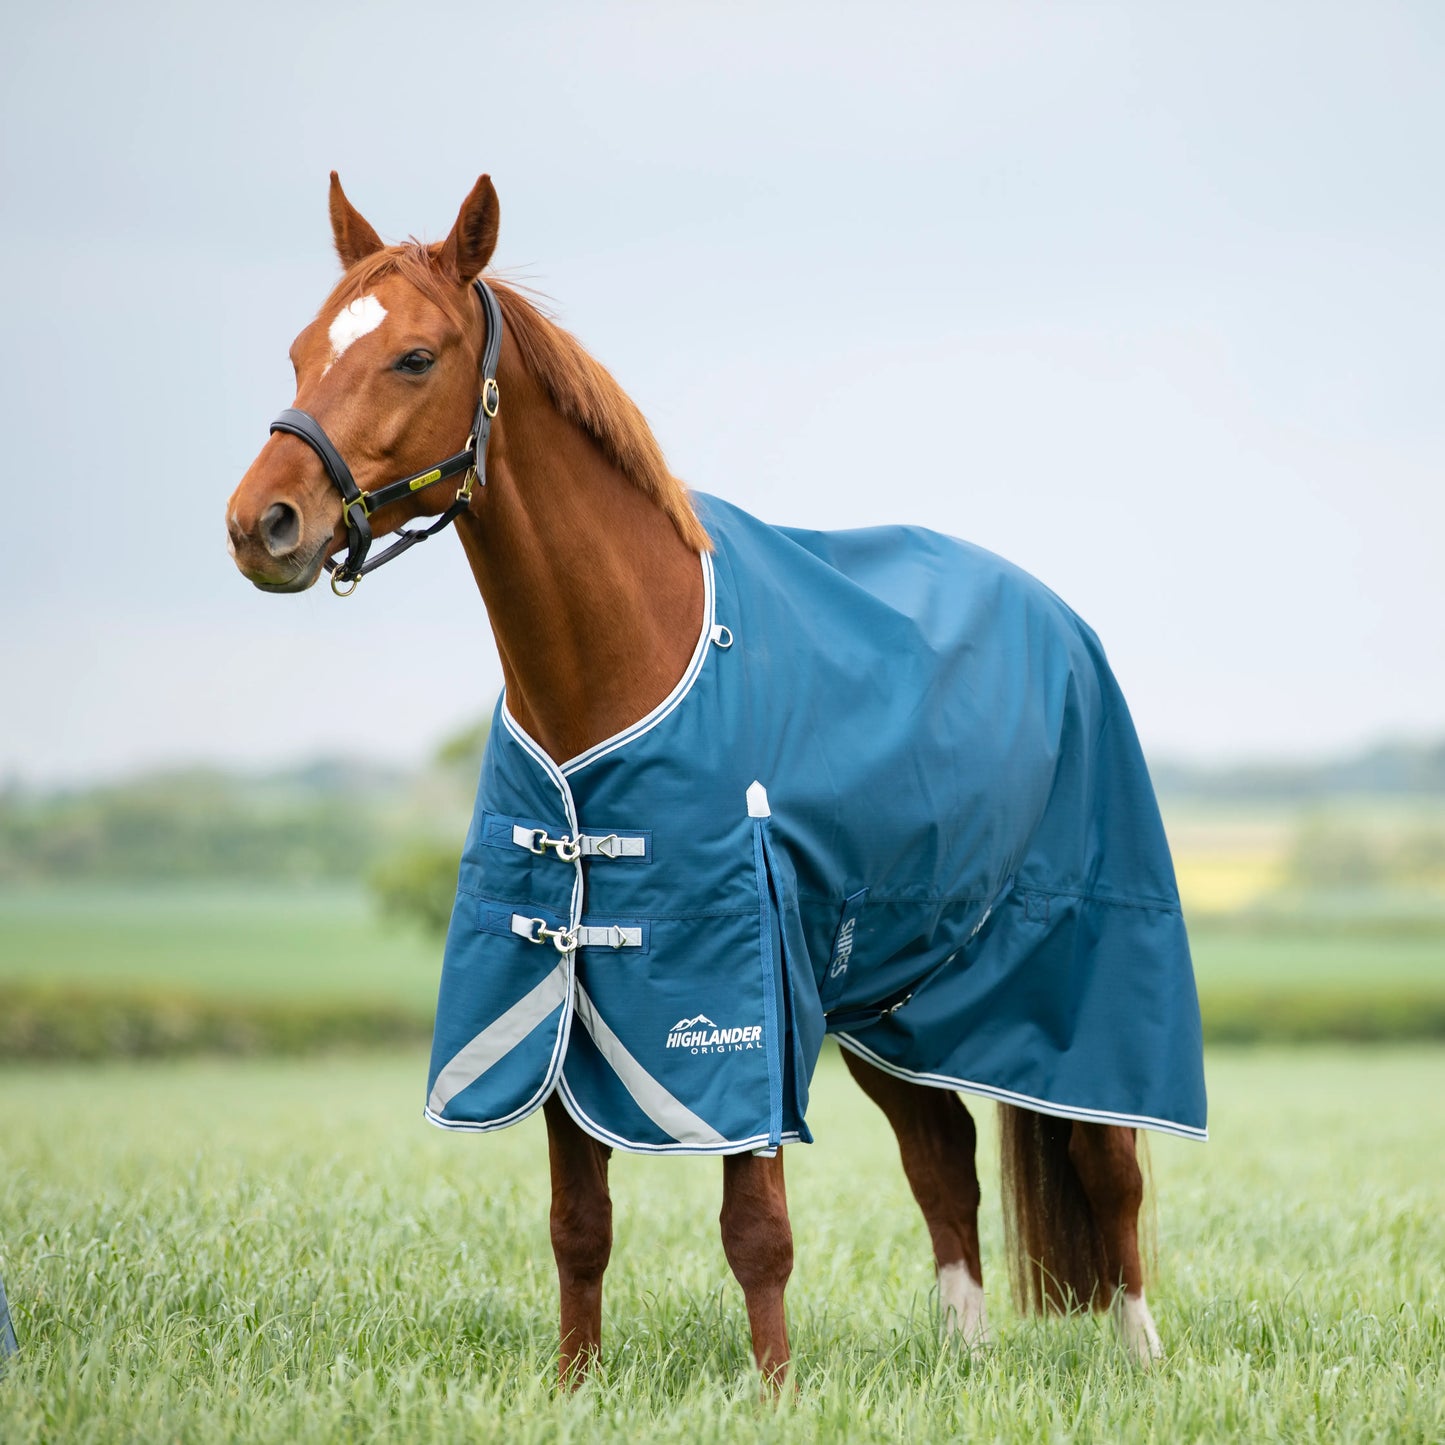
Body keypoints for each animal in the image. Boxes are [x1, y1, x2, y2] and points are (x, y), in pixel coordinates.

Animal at [226, 173, 1205, 1387]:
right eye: (300, 350)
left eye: (413, 355)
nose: (260, 523)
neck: (624, 662)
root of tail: (1057, 619)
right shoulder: (558, 980)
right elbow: (579, 1223)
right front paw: (573, 1384)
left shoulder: (742, 990)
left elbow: (756, 1227)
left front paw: (774, 1388)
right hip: (887, 991)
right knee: (943, 1158)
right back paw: (965, 1353)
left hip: (1084, 959)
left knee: (1109, 1166)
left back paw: (1141, 1353)